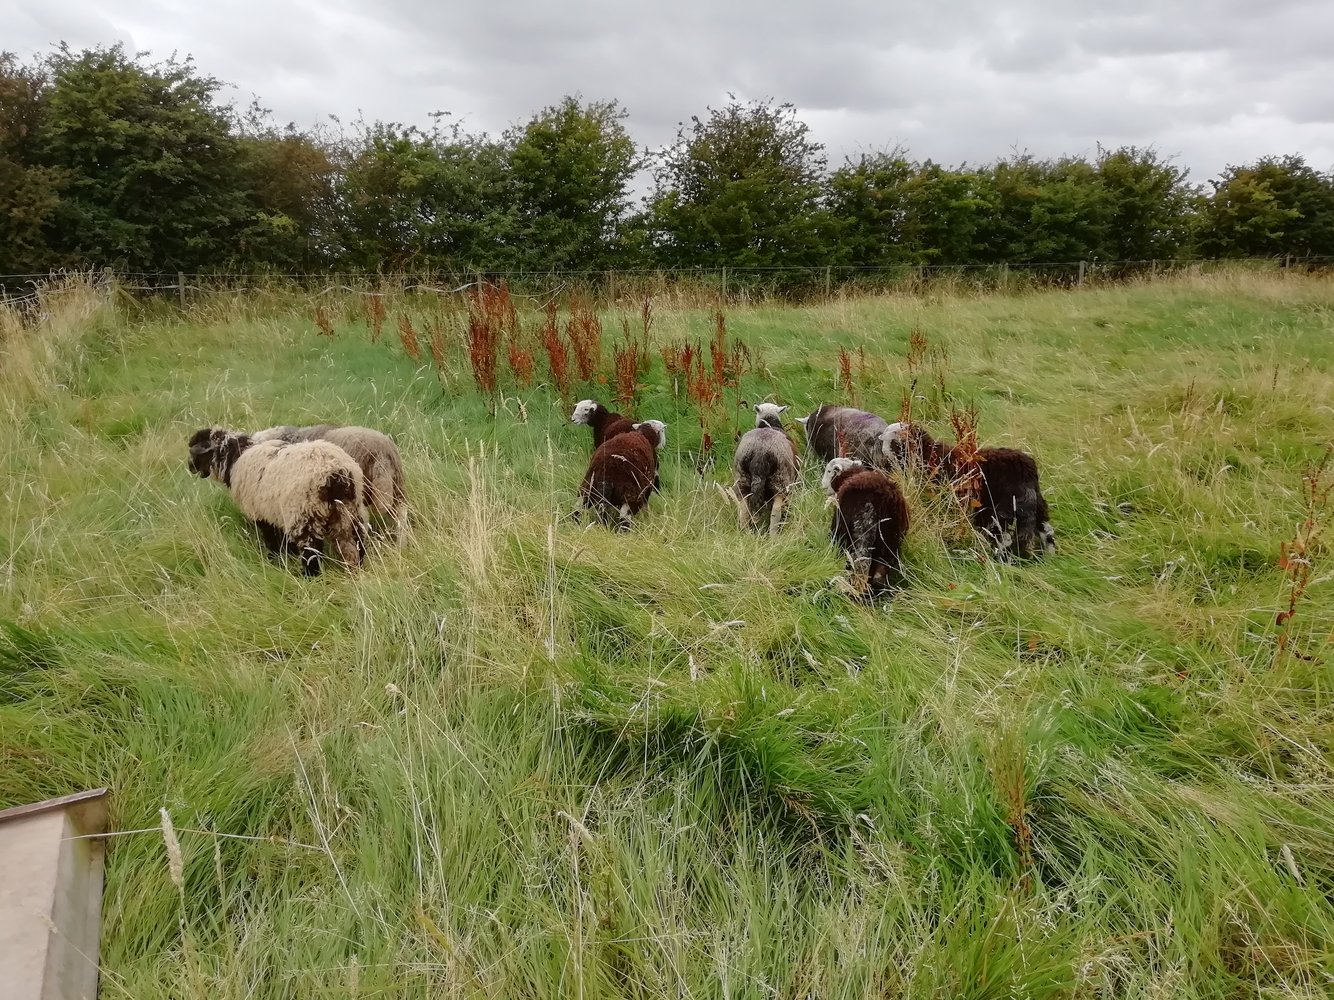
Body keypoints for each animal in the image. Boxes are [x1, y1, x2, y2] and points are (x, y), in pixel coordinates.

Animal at [185, 426, 368, 576]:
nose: (190, 468)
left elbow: (272, 540)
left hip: (305, 514)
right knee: (356, 542)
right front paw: (288, 555)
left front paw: (273, 560)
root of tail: (336, 473)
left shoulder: (262, 514)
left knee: (311, 552)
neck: (235, 458)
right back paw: (356, 568)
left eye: (195, 451)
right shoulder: (274, 512)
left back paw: (308, 576)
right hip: (350, 511)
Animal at [731, 402, 800, 536]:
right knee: (775, 512)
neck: (769, 424)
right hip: (780, 480)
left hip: (742, 479)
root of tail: (760, 452)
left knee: (744, 510)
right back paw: (774, 535)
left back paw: (745, 533)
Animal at [816, 458, 912, 600]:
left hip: (844, 531)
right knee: (879, 575)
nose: (822, 486)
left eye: (828, 471)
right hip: (889, 540)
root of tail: (870, 503)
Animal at [880, 424, 1056, 560]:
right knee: (1046, 529)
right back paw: (1049, 557)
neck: (928, 455)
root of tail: (1027, 469)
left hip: (998, 508)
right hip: (1033, 504)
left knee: (1003, 537)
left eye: (893, 441)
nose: (883, 456)